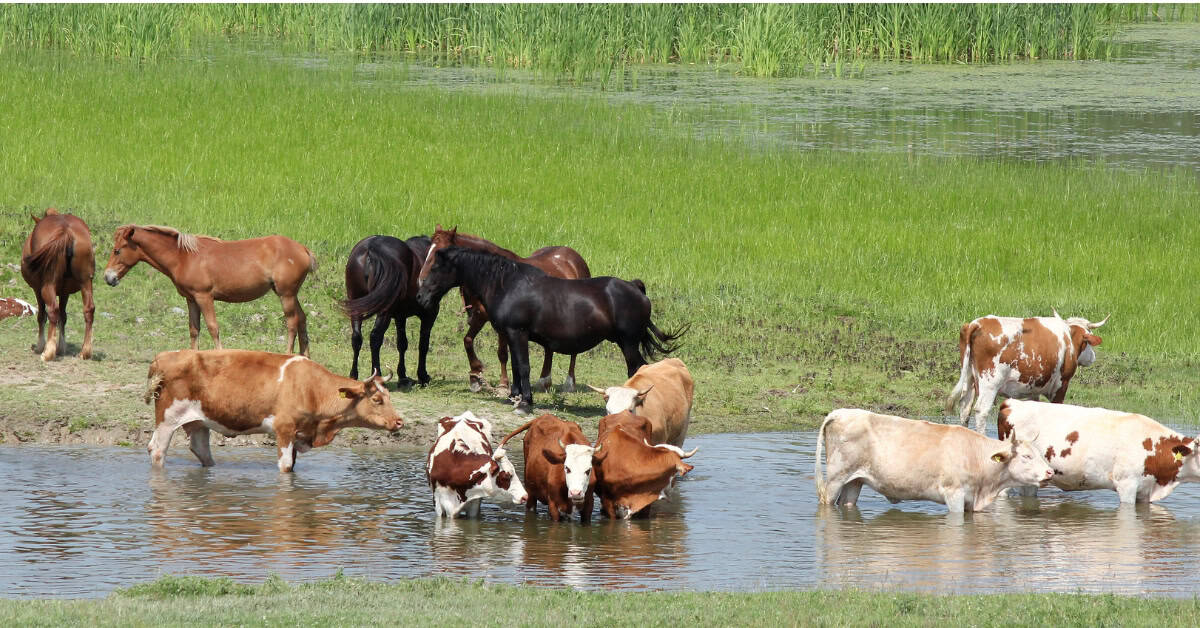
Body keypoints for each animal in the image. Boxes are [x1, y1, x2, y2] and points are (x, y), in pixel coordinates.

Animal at [20, 208, 96, 361]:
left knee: (52, 311)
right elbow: (63, 316)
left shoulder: (37, 289)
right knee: (89, 310)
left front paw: (41, 346)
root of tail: (66, 230)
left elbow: (42, 316)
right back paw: (85, 351)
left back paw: (48, 352)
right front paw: (61, 347)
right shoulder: (64, 292)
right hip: (86, 282)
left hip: (47, 286)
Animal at [103, 225, 315, 355]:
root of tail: (303, 249)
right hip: (291, 294)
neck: (184, 257)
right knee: (302, 319)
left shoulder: (204, 297)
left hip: (286, 295)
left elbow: (213, 328)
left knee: (292, 323)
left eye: (117, 250)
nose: (108, 277)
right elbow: (194, 329)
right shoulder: (191, 299)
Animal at [341, 234, 440, 386]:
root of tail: (371, 248)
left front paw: (403, 376)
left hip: (355, 303)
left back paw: (353, 375)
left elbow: (402, 343)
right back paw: (377, 376)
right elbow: (423, 344)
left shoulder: (400, 316)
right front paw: (422, 376)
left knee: (356, 337)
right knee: (375, 337)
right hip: (384, 311)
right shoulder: (429, 314)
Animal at [416, 247, 685, 414]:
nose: (420, 297)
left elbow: (524, 367)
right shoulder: (512, 335)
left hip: (628, 343)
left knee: (637, 369)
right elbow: (515, 366)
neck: (508, 285)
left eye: (436, 267)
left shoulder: (517, 332)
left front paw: (525, 402)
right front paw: (515, 395)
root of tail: (635, 287)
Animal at [417, 225, 591, 394]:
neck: (492, 275)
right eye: (428, 252)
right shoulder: (480, 316)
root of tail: (574, 258)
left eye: (440, 255)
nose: (421, 281)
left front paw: (502, 385)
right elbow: (468, 341)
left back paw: (569, 384)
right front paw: (475, 376)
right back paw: (544, 381)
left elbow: (502, 353)